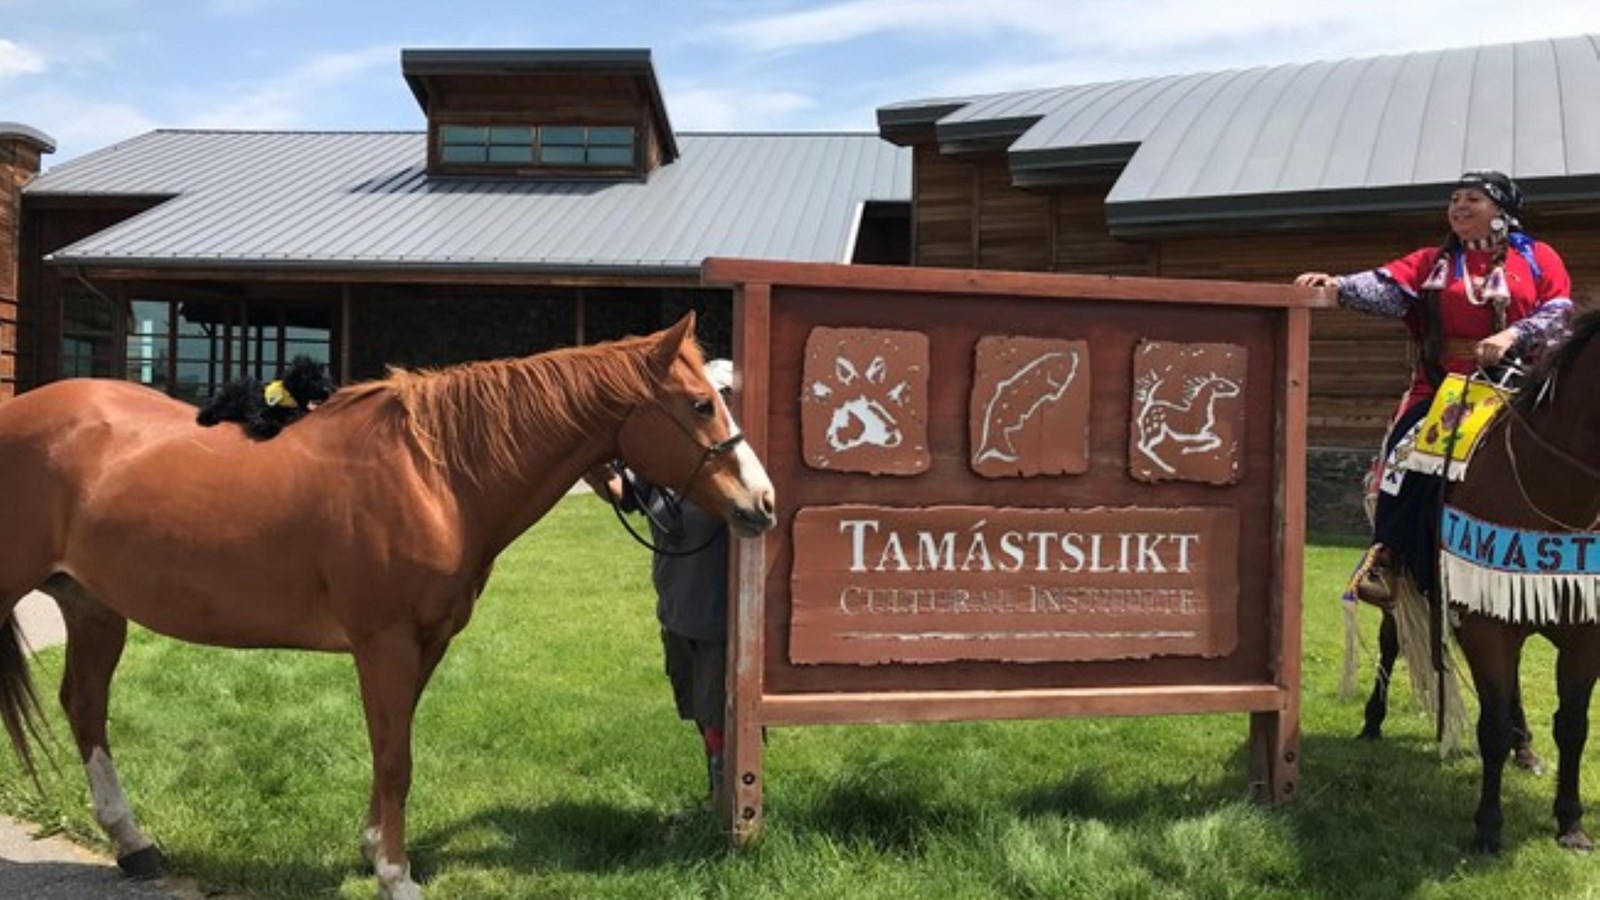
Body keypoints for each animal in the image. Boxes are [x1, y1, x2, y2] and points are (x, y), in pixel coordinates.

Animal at [0, 313, 775, 899]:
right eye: (701, 404)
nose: (762, 503)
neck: (436, 475)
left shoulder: (425, 642)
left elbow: (388, 749)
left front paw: (375, 847)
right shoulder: (385, 644)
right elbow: (396, 757)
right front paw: (396, 876)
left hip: (94, 605)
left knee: (85, 706)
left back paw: (134, 843)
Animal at [1441, 308, 1600, 853]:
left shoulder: (1585, 635)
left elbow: (1572, 726)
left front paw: (1571, 823)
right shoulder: (1482, 622)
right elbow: (1489, 726)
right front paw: (1488, 827)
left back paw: (1526, 749)